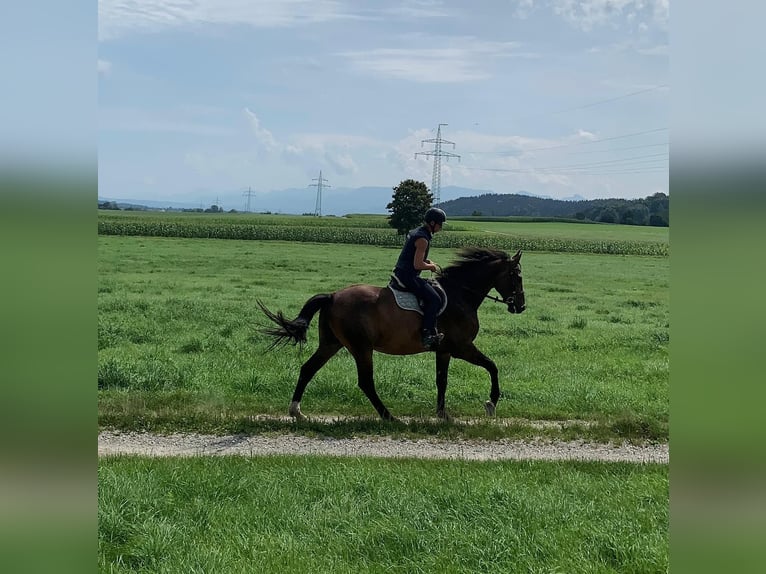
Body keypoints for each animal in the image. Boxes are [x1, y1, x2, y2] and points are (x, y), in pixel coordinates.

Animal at [258, 248, 528, 424]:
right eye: (517, 276)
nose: (521, 306)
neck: (460, 295)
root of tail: (333, 296)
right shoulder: (462, 347)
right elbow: (492, 366)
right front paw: (491, 404)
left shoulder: (444, 350)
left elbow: (442, 380)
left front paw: (443, 414)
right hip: (361, 348)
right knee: (365, 382)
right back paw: (389, 416)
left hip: (331, 344)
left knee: (308, 369)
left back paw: (297, 412)